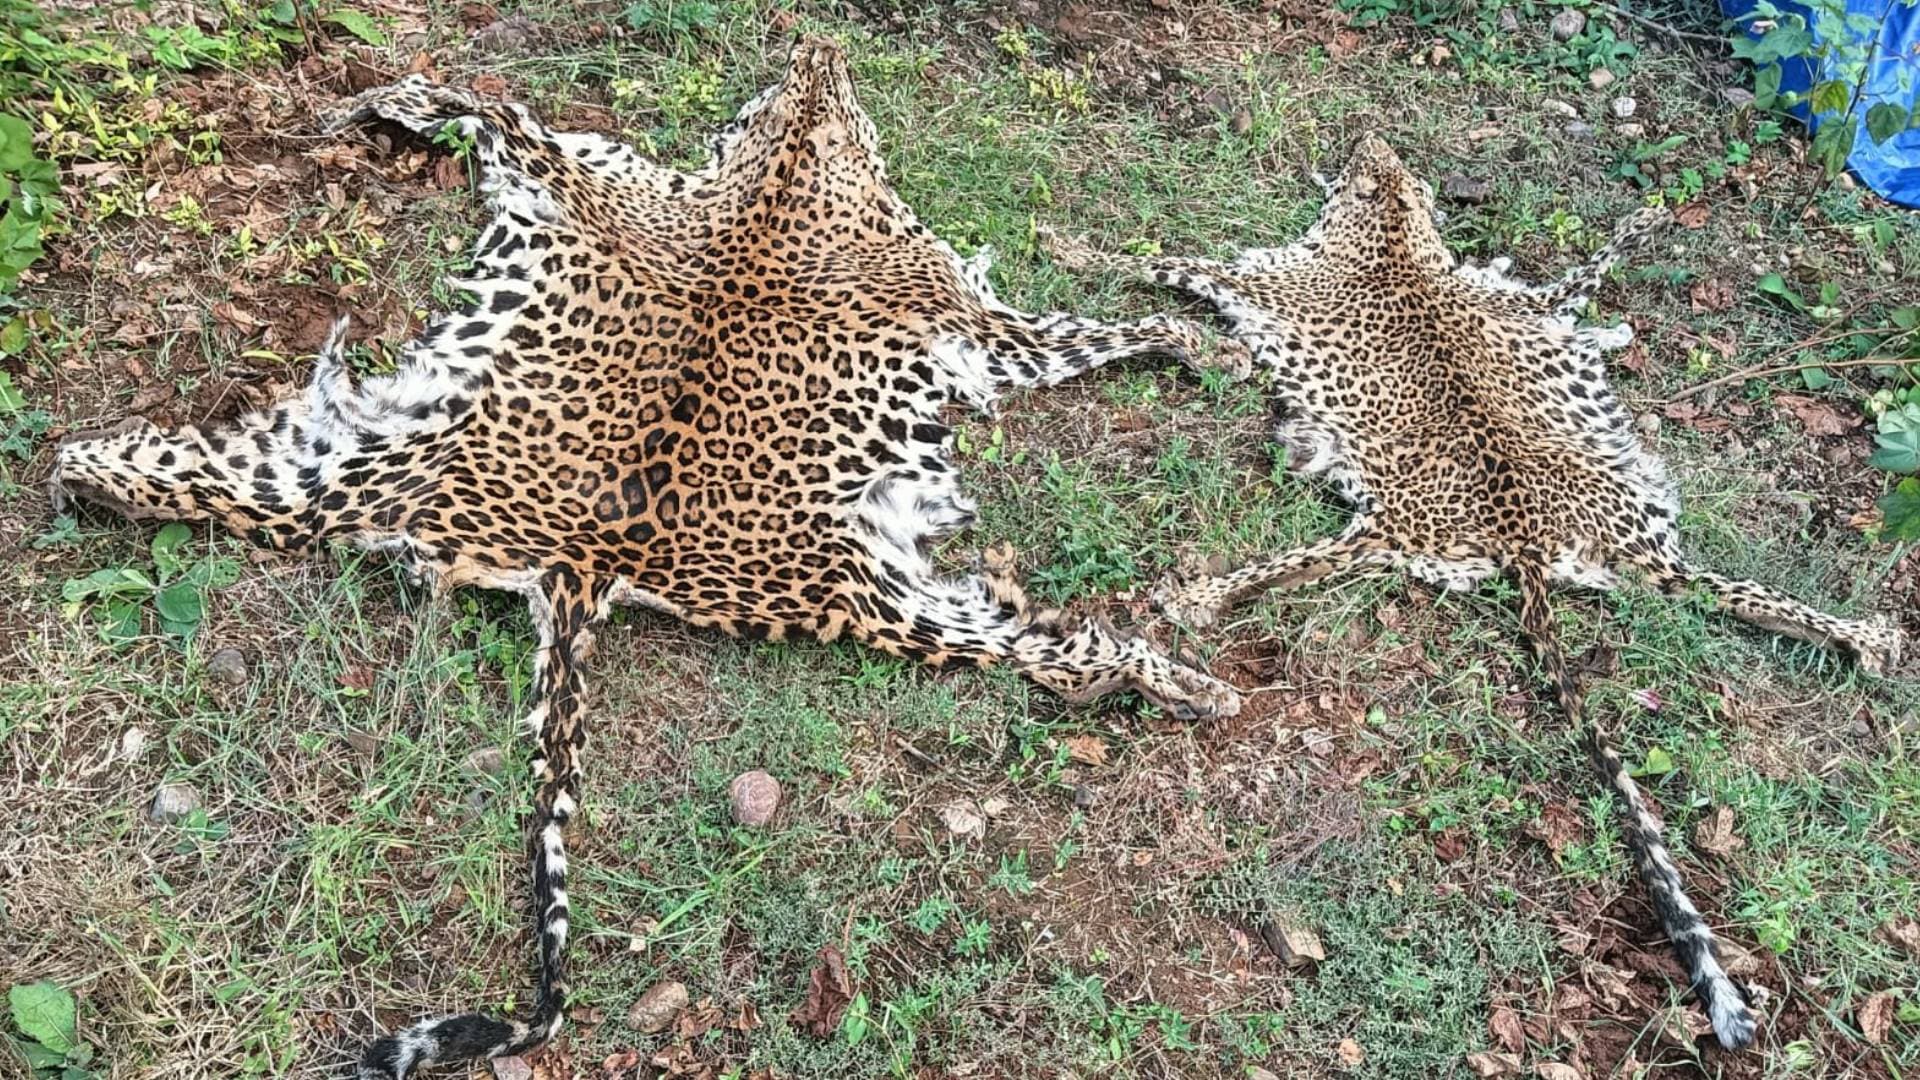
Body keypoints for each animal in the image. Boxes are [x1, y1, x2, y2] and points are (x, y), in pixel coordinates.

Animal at [46, 39, 1248, 1078]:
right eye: (805, 94)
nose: (816, 45)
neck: (783, 180)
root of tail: (585, 560)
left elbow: (486, 109)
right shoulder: (970, 319)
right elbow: (485, 101)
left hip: (354, 480)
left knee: (1066, 654)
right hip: (854, 583)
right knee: (1064, 653)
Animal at [1041, 132, 1905, 1052]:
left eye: (1370, 166)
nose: (1368, 133)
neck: (1393, 237)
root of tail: (1522, 531)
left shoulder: (1249, 283)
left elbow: (1161, 260)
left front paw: (1069, 247)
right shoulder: (1521, 298)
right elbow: (1577, 281)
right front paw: (1641, 234)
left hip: (1385, 523)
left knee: (1308, 564)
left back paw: (1199, 592)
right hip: (1642, 547)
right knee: (1722, 590)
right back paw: (1870, 639)